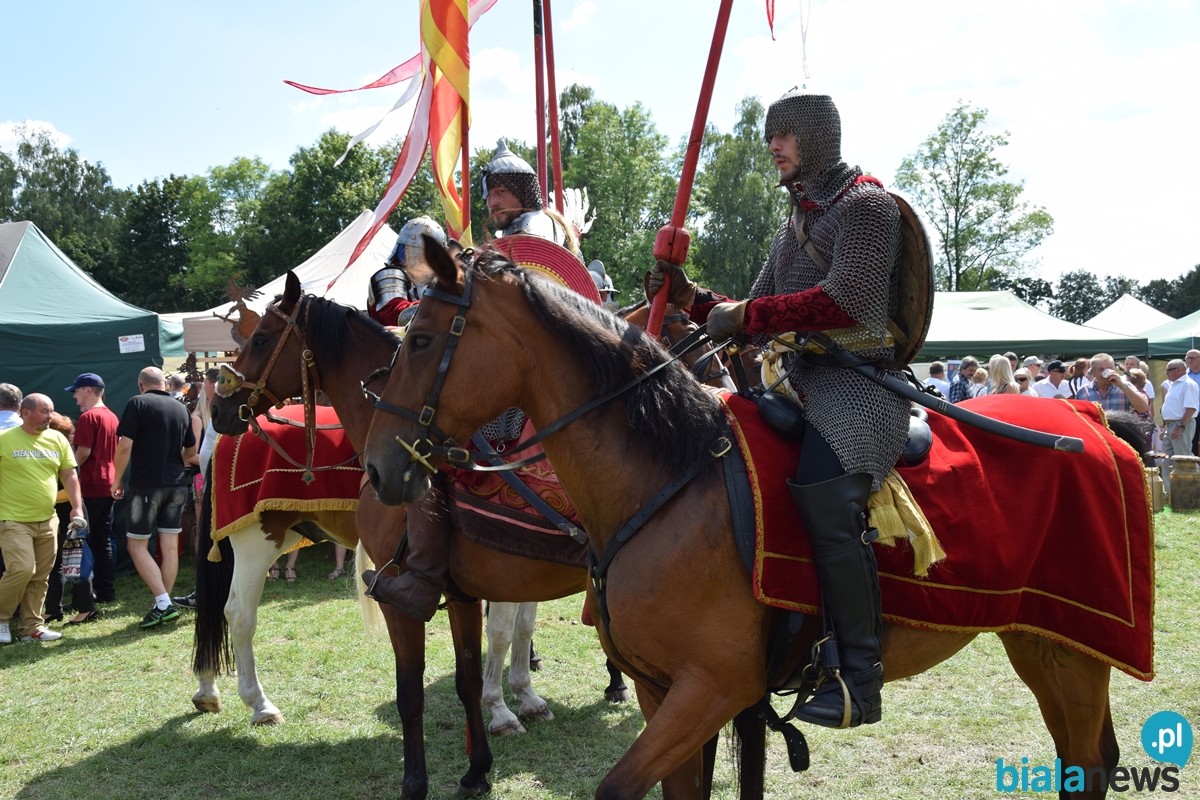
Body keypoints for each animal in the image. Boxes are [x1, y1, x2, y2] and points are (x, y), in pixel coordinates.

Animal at [205, 272, 629, 799]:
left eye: (261, 338)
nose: (220, 406)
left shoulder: (470, 590)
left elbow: (480, 663)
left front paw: (498, 735)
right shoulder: (414, 594)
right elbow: (441, 675)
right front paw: (502, 715)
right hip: (255, 542)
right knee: (238, 615)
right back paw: (255, 704)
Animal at [363, 241, 1146, 800]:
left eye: (422, 340)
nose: (377, 467)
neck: (671, 479)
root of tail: (1089, 416)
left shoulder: (712, 689)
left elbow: (617, 787)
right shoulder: (661, 689)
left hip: (1077, 649)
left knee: (1087, 762)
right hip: (1042, 639)